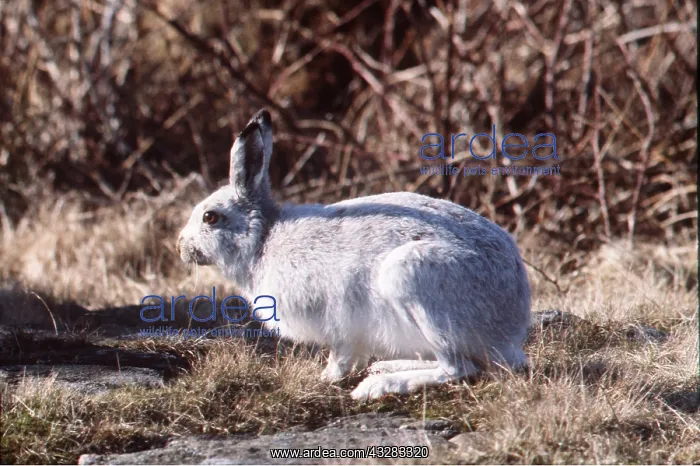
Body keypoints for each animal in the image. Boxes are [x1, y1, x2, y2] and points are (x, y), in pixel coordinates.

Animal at [177, 109, 532, 400]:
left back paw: (378, 385)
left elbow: (341, 356)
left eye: (210, 217)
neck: (262, 238)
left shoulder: (338, 322)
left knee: (458, 368)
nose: (181, 246)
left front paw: (325, 378)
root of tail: (511, 326)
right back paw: (386, 367)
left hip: (413, 280)